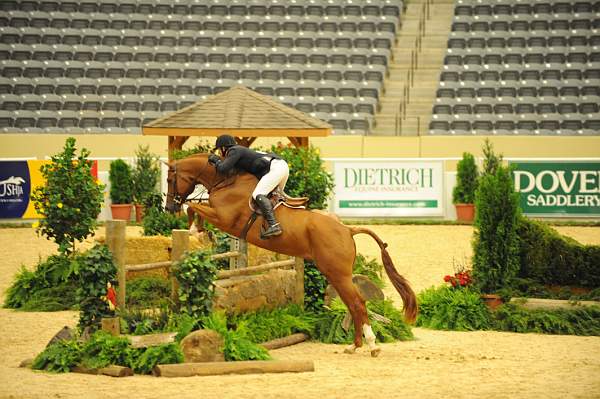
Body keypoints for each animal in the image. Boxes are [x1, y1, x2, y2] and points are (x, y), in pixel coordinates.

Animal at [164, 154, 418, 356]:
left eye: (169, 180)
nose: (168, 208)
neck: (225, 181)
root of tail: (347, 229)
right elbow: (194, 208)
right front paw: (199, 231)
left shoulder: (224, 218)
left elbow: (193, 207)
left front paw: (194, 229)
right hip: (335, 274)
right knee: (353, 305)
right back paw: (354, 345)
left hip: (339, 273)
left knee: (357, 304)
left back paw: (372, 345)